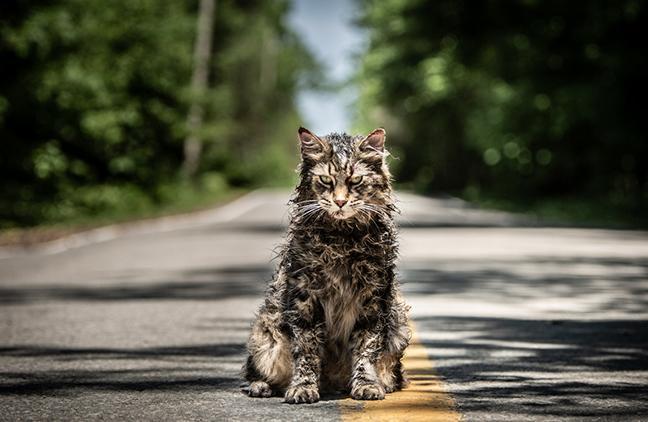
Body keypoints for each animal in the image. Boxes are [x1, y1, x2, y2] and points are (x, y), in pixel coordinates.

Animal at [243, 127, 410, 404]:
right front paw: (303, 387)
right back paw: (261, 386)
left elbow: (366, 349)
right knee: (255, 371)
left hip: (399, 326)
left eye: (356, 181)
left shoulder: (373, 299)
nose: (340, 202)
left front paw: (366, 384)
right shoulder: (305, 298)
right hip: (266, 333)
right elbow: (307, 351)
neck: (342, 240)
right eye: (326, 180)